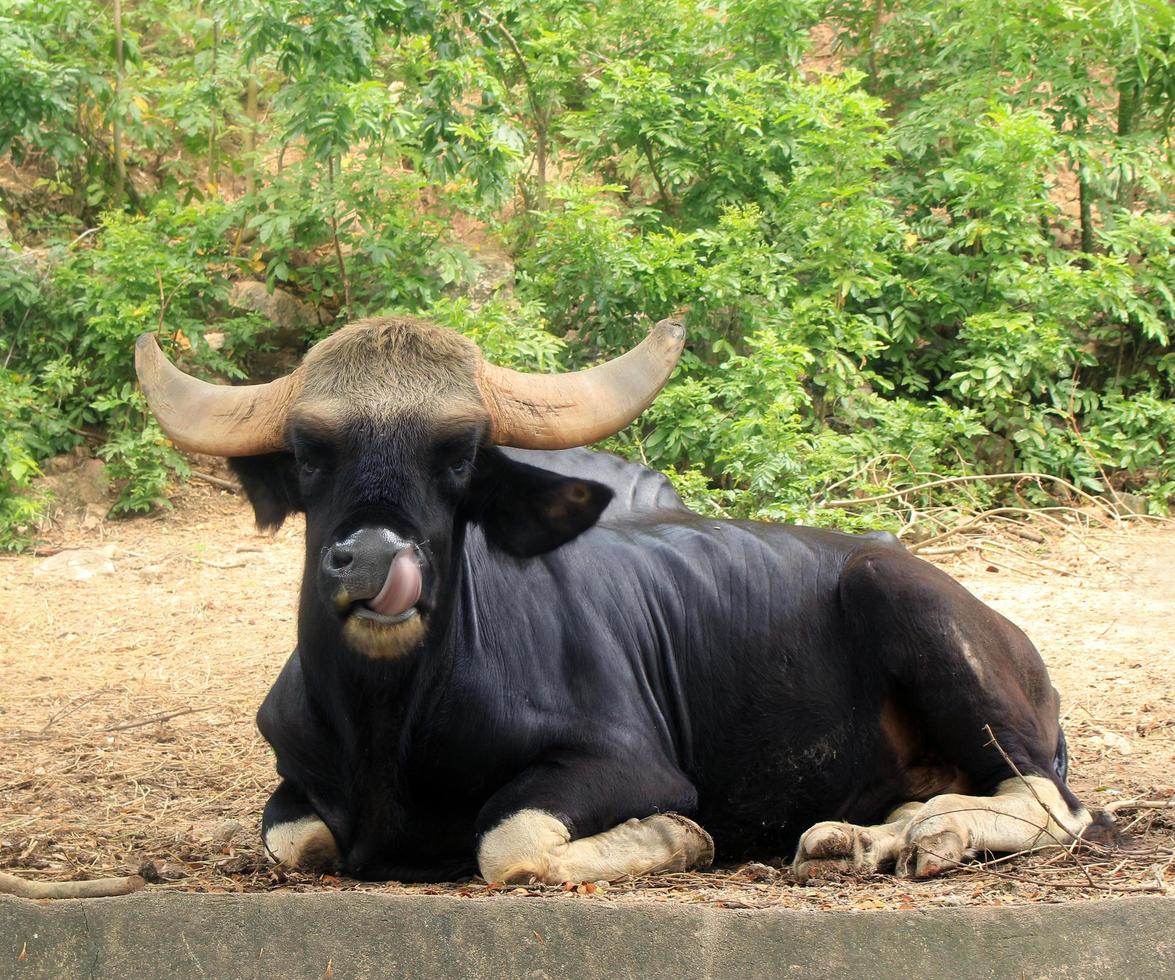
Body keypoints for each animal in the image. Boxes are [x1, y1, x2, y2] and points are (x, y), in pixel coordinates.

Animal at [231, 441, 1109, 878]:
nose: (375, 560)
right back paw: (861, 839)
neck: (390, 725)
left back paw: (928, 836)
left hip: (905, 599)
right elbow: (295, 842)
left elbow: (506, 843)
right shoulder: (297, 782)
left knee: (1051, 801)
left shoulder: (628, 763)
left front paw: (676, 840)